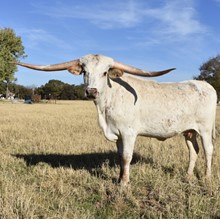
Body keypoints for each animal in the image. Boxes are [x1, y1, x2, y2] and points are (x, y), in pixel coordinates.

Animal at [15, 54, 217, 185]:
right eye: (84, 71)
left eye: (105, 73)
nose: (91, 91)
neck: (105, 107)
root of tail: (205, 85)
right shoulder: (118, 134)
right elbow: (120, 157)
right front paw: (119, 179)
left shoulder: (128, 133)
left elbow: (127, 156)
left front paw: (124, 183)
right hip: (189, 131)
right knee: (193, 151)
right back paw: (188, 176)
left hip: (205, 129)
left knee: (208, 150)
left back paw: (207, 178)